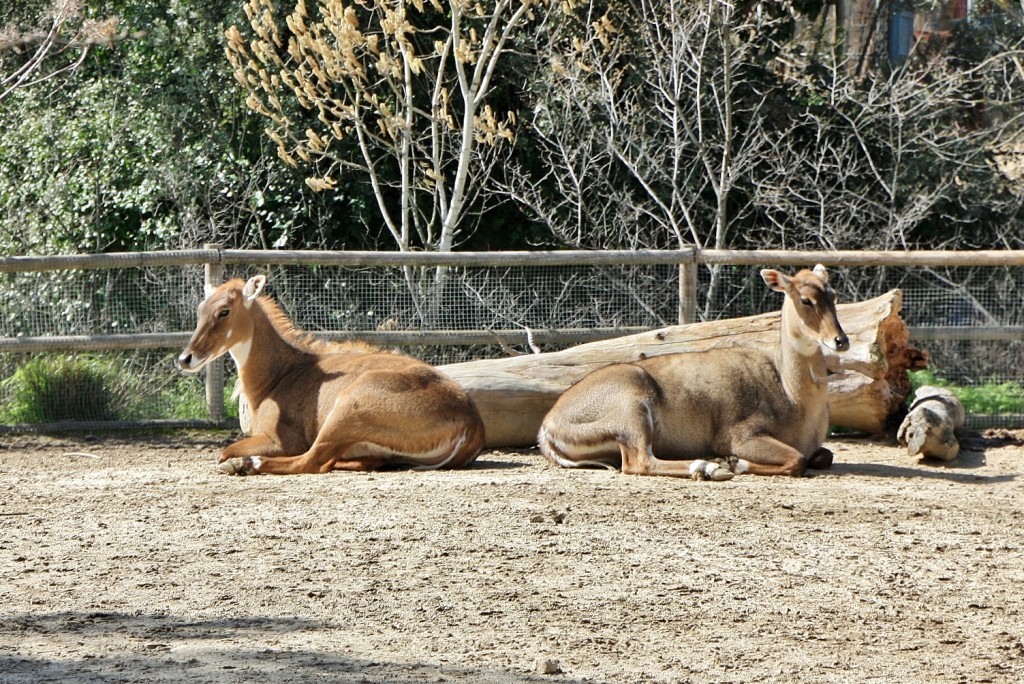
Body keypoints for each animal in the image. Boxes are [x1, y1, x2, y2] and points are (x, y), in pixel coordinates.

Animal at [178, 274, 485, 475]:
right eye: (201, 309)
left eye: (224, 311)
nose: (185, 358)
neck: (280, 374)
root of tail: (472, 423)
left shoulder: (283, 440)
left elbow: (225, 450)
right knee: (355, 461)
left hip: (347, 409)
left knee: (312, 462)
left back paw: (246, 465)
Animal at [540, 264, 851, 479]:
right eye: (805, 299)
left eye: (833, 295)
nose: (840, 340)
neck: (789, 390)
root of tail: (548, 427)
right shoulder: (738, 435)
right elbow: (797, 459)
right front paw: (733, 462)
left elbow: (823, 455)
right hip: (632, 409)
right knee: (640, 461)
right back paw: (708, 468)